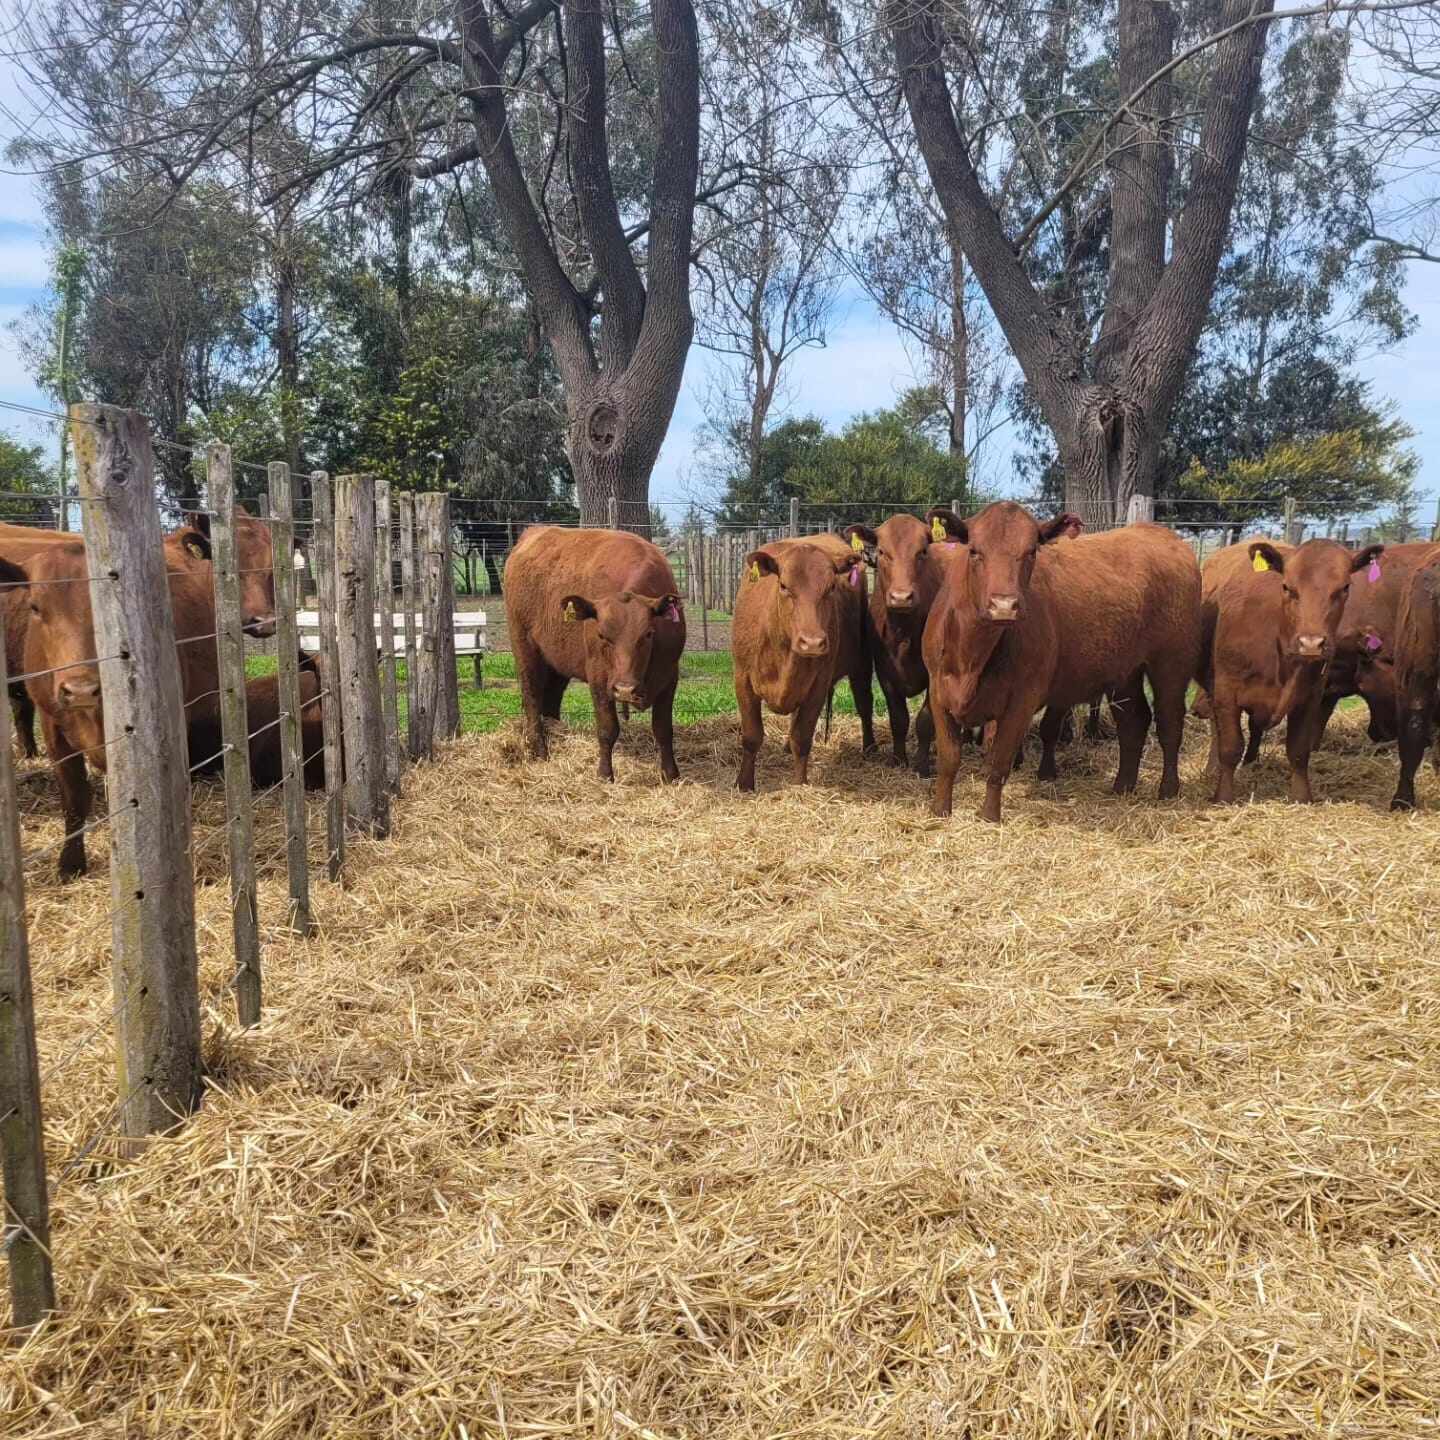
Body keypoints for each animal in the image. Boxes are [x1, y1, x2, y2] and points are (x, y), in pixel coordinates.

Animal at [503, 525, 686, 783]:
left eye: (649, 634)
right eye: (601, 635)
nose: (625, 690)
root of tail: (535, 532)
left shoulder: (669, 676)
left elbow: (662, 729)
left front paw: (670, 774)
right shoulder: (599, 678)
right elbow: (607, 729)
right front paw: (604, 774)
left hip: (558, 662)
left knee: (550, 702)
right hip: (525, 650)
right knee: (532, 699)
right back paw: (539, 751)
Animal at [732, 533, 873, 791]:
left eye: (831, 587)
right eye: (784, 586)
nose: (813, 642)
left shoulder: (818, 686)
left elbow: (803, 737)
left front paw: (799, 785)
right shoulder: (742, 679)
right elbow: (752, 736)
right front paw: (744, 784)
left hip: (861, 660)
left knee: (864, 703)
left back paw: (870, 747)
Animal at [923, 503, 1200, 823]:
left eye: (1031, 551)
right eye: (974, 551)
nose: (1003, 605)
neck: (971, 658)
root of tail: (1159, 533)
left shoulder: (1022, 699)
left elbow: (999, 762)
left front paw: (989, 817)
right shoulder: (938, 690)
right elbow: (948, 759)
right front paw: (940, 811)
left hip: (1172, 663)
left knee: (1169, 724)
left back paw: (1168, 790)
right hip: (1126, 671)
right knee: (1134, 720)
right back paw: (1122, 786)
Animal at [1200, 536, 1384, 804]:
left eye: (1344, 588)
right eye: (1287, 587)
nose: (1311, 643)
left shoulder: (1311, 696)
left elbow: (1298, 750)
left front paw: (1301, 797)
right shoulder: (1226, 691)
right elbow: (1230, 747)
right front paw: (1223, 796)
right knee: (1218, 730)